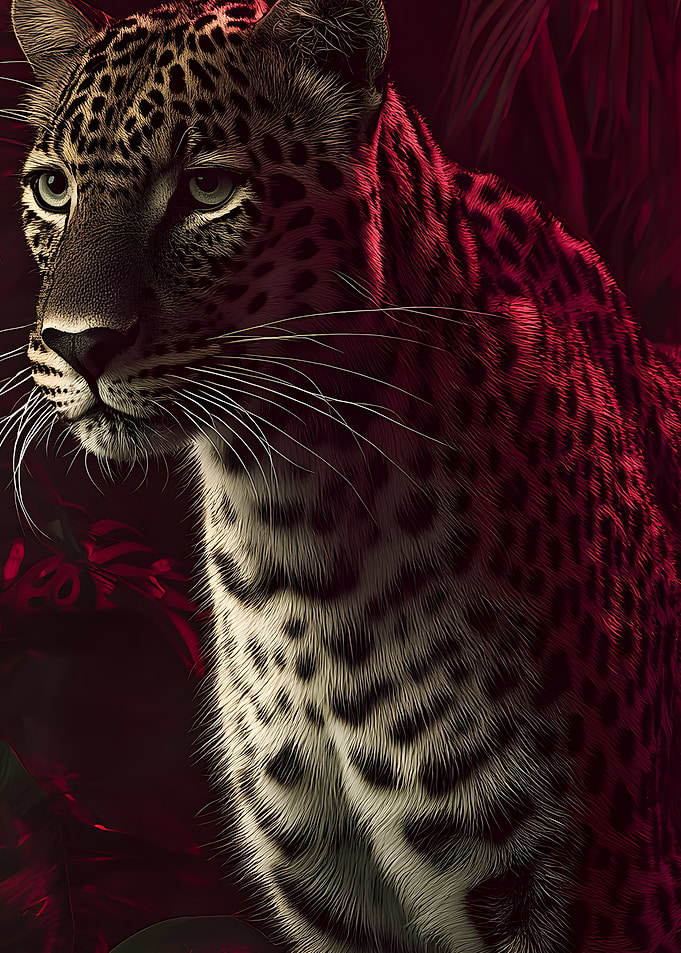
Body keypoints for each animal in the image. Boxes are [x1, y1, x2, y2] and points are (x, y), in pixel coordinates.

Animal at [8, 0, 681, 949]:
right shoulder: (332, 892)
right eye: (53, 189)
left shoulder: (588, 886)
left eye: (206, 190)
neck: (292, 520)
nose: (77, 344)